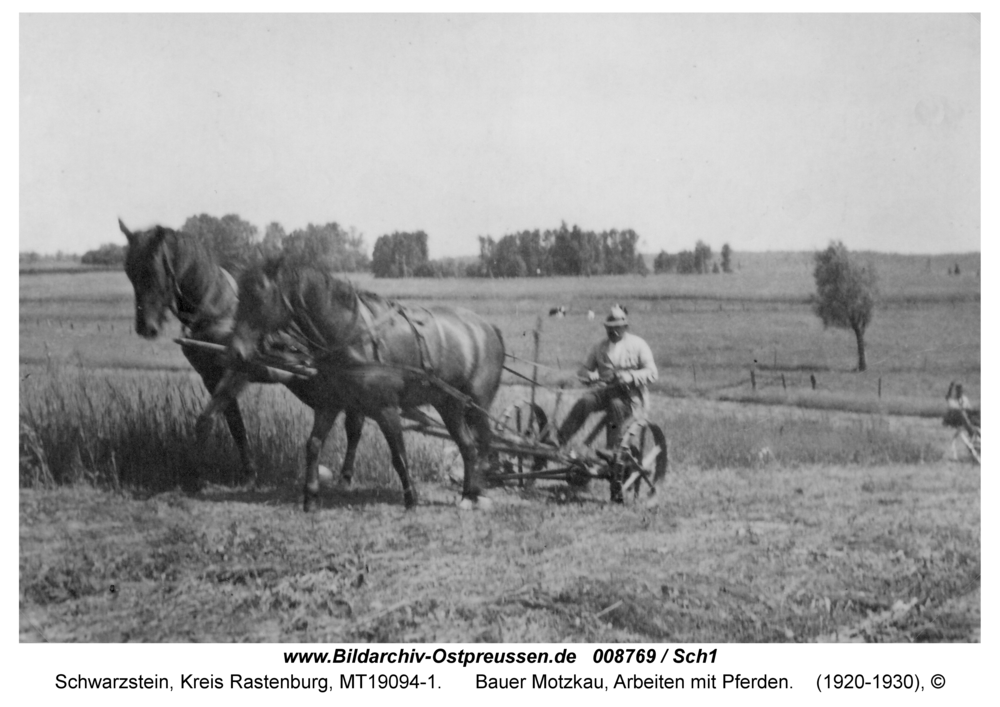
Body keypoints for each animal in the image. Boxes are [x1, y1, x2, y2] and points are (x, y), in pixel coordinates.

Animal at [118, 221, 368, 486]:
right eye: (129, 271)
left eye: (153, 270)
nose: (146, 327)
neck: (218, 308)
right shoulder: (211, 377)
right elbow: (233, 424)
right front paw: (242, 473)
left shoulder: (237, 372)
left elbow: (209, 420)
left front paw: (200, 477)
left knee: (355, 424)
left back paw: (346, 476)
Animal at [227, 258, 508, 512]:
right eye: (240, 296)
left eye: (259, 297)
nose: (236, 352)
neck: (351, 336)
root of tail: (488, 327)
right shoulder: (330, 404)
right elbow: (313, 445)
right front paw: (310, 497)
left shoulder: (386, 409)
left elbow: (398, 455)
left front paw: (411, 499)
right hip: (449, 404)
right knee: (468, 447)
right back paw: (468, 495)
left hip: (477, 404)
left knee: (483, 444)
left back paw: (477, 493)